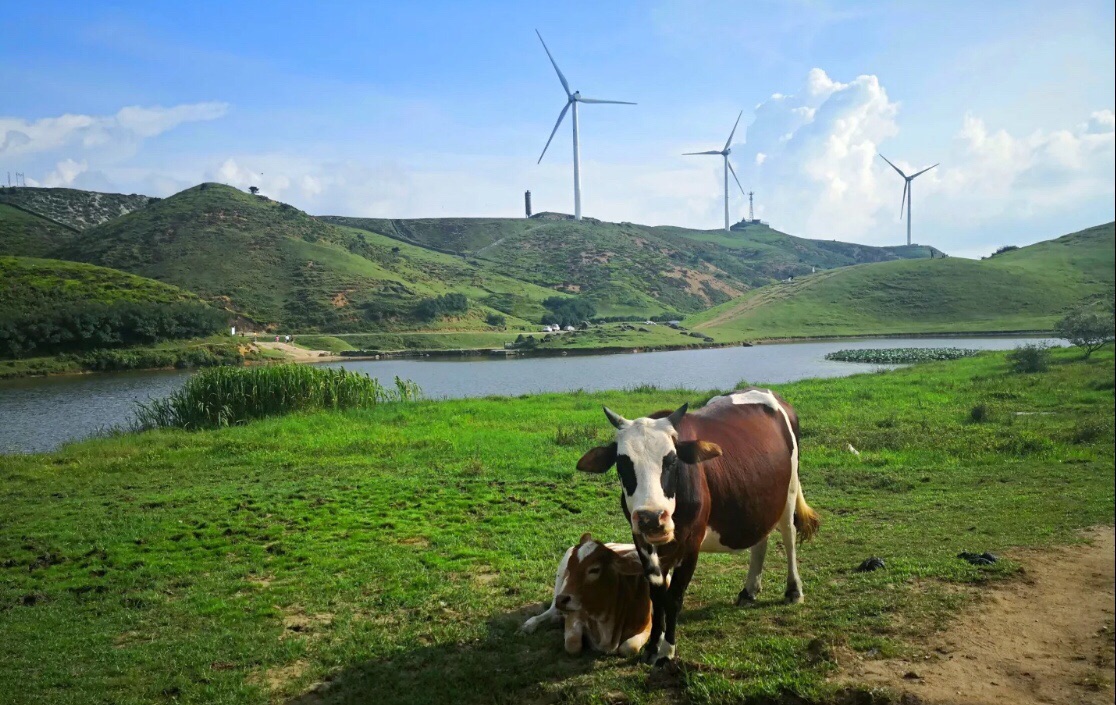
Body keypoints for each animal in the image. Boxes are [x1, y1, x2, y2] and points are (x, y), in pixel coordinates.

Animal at [520, 533, 651, 655]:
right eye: (570, 567)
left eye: (594, 569)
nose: (562, 600)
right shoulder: (574, 614)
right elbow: (573, 646)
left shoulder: (648, 625)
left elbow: (628, 648)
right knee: (551, 609)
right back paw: (532, 623)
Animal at [575, 388, 821, 664]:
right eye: (622, 463)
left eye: (671, 460)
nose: (652, 517)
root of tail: (771, 394)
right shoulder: (642, 542)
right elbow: (657, 597)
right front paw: (652, 646)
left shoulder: (691, 543)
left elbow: (674, 597)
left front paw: (667, 650)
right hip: (759, 499)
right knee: (761, 539)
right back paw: (749, 590)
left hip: (789, 493)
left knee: (789, 537)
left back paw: (794, 590)